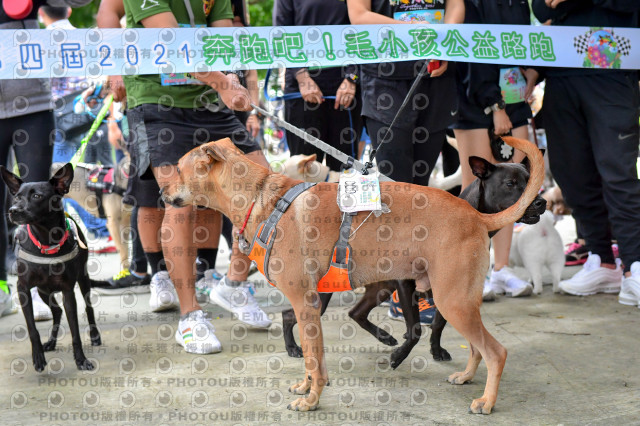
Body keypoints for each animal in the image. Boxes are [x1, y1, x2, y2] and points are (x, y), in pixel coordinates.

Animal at [1, 163, 104, 370]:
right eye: (17, 196)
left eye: (37, 196)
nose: (13, 210)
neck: (45, 240)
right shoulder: (23, 289)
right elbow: (32, 329)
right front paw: (38, 356)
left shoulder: (68, 291)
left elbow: (75, 332)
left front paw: (81, 360)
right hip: (43, 290)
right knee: (57, 311)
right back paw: (50, 342)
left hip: (83, 279)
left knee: (88, 307)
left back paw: (95, 335)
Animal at [282, 153, 548, 366]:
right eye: (511, 184)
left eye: (533, 181)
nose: (541, 201)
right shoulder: (406, 284)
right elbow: (416, 329)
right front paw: (400, 357)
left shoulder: (447, 289)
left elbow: (438, 323)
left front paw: (435, 349)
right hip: (328, 291)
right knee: (289, 314)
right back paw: (292, 347)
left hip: (381, 286)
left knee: (356, 313)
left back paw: (385, 336)